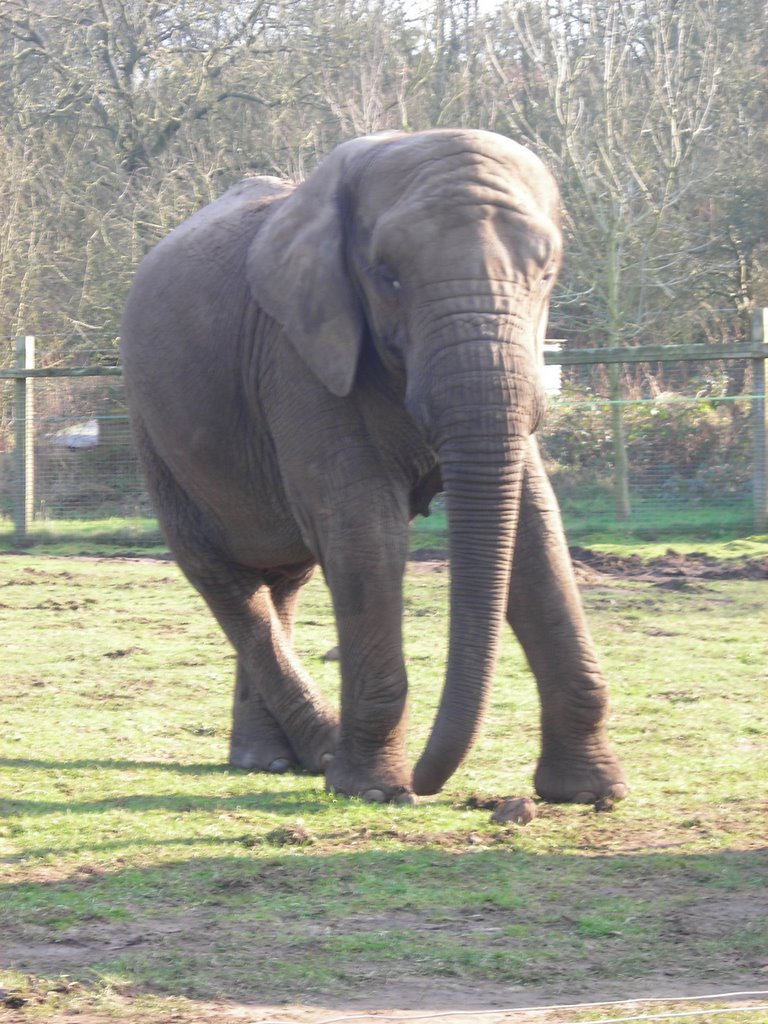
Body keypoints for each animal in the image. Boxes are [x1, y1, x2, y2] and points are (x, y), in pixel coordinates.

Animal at [118, 128, 626, 802]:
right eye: (388, 277)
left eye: (546, 273)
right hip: (152, 429)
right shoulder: (297, 354)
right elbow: (365, 530)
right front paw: (377, 790)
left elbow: (534, 528)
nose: (427, 783)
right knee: (224, 578)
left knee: (280, 580)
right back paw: (320, 753)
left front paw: (592, 793)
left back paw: (269, 761)